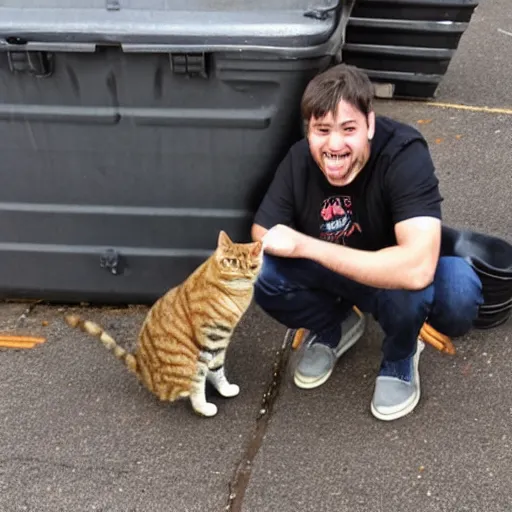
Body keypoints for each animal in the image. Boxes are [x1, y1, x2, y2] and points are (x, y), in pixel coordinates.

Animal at [65, 231, 262, 416]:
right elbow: (204, 379)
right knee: (193, 384)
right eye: (232, 261)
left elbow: (217, 369)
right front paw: (205, 404)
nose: (243, 274)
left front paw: (224, 388)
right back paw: (202, 407)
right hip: (188, 360)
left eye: (252, 266)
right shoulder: (209, 340)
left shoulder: (219, 341)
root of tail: (141, 368)